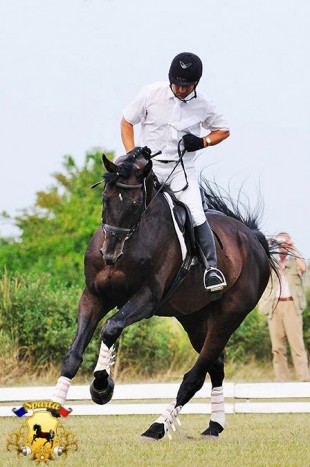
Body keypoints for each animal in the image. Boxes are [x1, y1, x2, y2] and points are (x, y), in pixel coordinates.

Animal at [52, 147, 276, 442]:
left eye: (137, 204)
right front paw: (52, 410)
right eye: (105, 198)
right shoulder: (94, 296)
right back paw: (214, 425)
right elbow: (73, 356)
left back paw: (156, 427)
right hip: (194, 318)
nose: (110, 255)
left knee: (195, 376)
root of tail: (253, 237)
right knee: (215, 365)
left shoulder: (146, 299)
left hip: (229, 316)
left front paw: (102, 386)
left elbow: (110, 327)